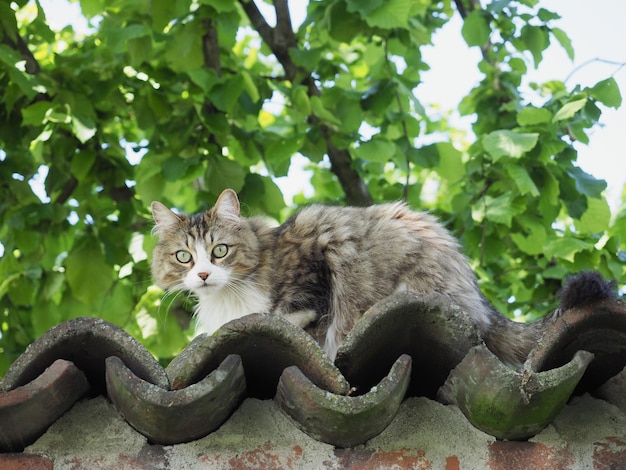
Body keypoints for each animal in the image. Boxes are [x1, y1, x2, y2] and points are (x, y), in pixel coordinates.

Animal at [150, 189, 608, 366]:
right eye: (184, 257)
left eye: (220, 251)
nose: (204, 274)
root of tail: (481, 300)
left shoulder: (315, 272)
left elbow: (292, 318)